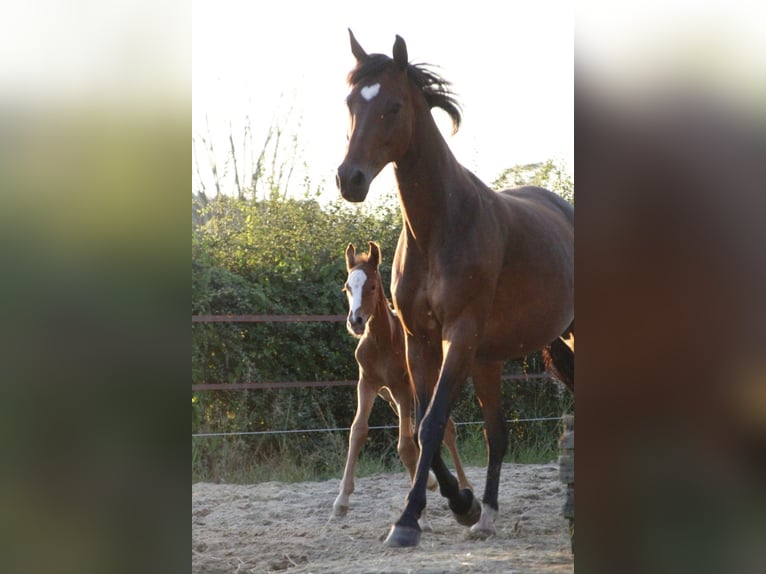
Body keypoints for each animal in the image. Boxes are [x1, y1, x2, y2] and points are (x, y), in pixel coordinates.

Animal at [336, 241, 474, 524]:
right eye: (347, 287)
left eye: (372, 286)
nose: (355, 322)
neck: (382, 341)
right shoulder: (367, 384)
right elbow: (358, 431)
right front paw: (341, 501)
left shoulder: (402, 389)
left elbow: (406, 446)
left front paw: (419, 515)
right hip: (392, 398)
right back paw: (432, 481)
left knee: (447, 429)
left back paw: (463, 486)